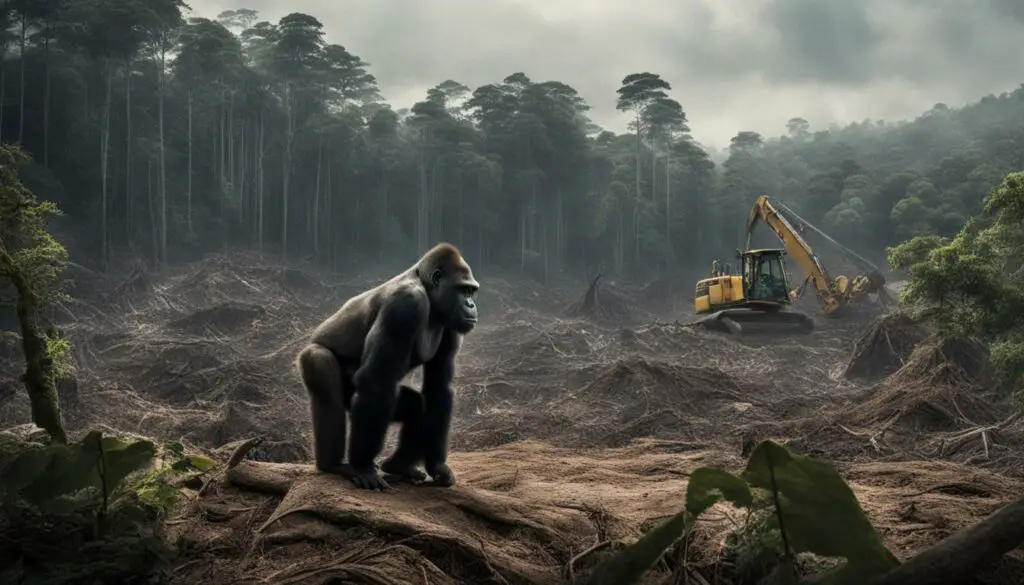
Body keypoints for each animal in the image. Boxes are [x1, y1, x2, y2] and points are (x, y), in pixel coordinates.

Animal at [295, 243, 479, 491]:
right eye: (463, 291)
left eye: (470, 291)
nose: (471, 304)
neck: (426, 288)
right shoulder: (405, 304)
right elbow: (377, 378)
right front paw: (363, 466)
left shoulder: (450, 322)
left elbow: (439, 385)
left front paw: (437, 466)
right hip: (311, 355)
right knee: (324, 371)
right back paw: (333, 464)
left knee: (414, 404)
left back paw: (399, 465)